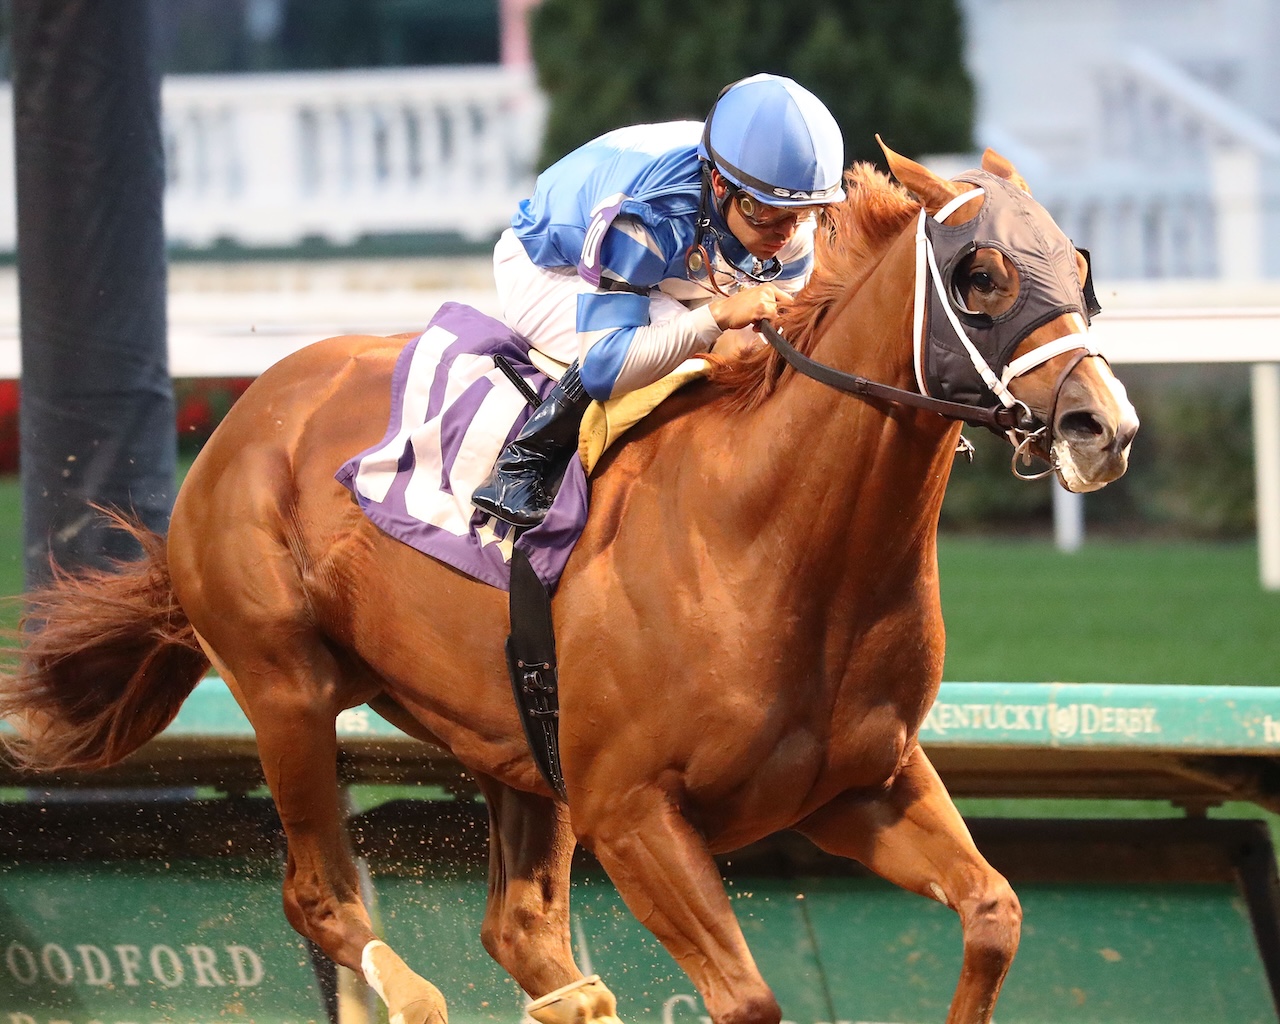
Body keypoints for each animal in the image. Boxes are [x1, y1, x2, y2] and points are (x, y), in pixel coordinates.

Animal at [0, 145, 1141, 1024]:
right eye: (980, 275)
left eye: (1079, 264)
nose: (1104, 426)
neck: (771, 537)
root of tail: (244, 415)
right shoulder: (635, 813)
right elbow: (746, 998)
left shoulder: (857, 783)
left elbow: (994, 913)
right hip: (286, 687)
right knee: (321, 897)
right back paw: (415, 996)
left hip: (514, 743)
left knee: (524, 936)